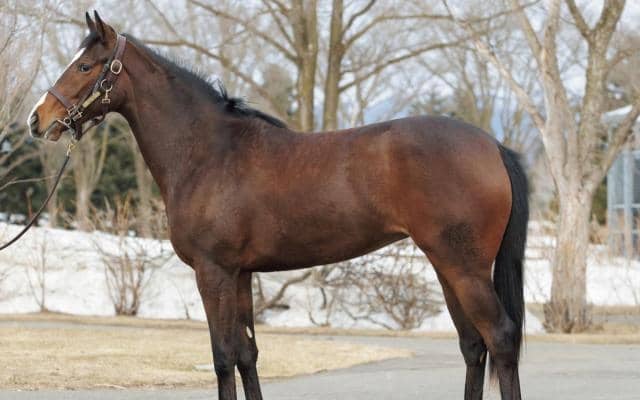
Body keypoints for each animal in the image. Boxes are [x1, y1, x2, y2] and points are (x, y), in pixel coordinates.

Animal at [27, 12, 528, 400]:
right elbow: (247, 354)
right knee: (473, 345)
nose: (37, 119)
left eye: (85, 66)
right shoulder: (241, 274)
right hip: (446, 265)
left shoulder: (213, 272)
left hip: (462, 266)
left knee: (500, 339)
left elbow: (222, 355)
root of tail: (493, 146)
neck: (209, 151)